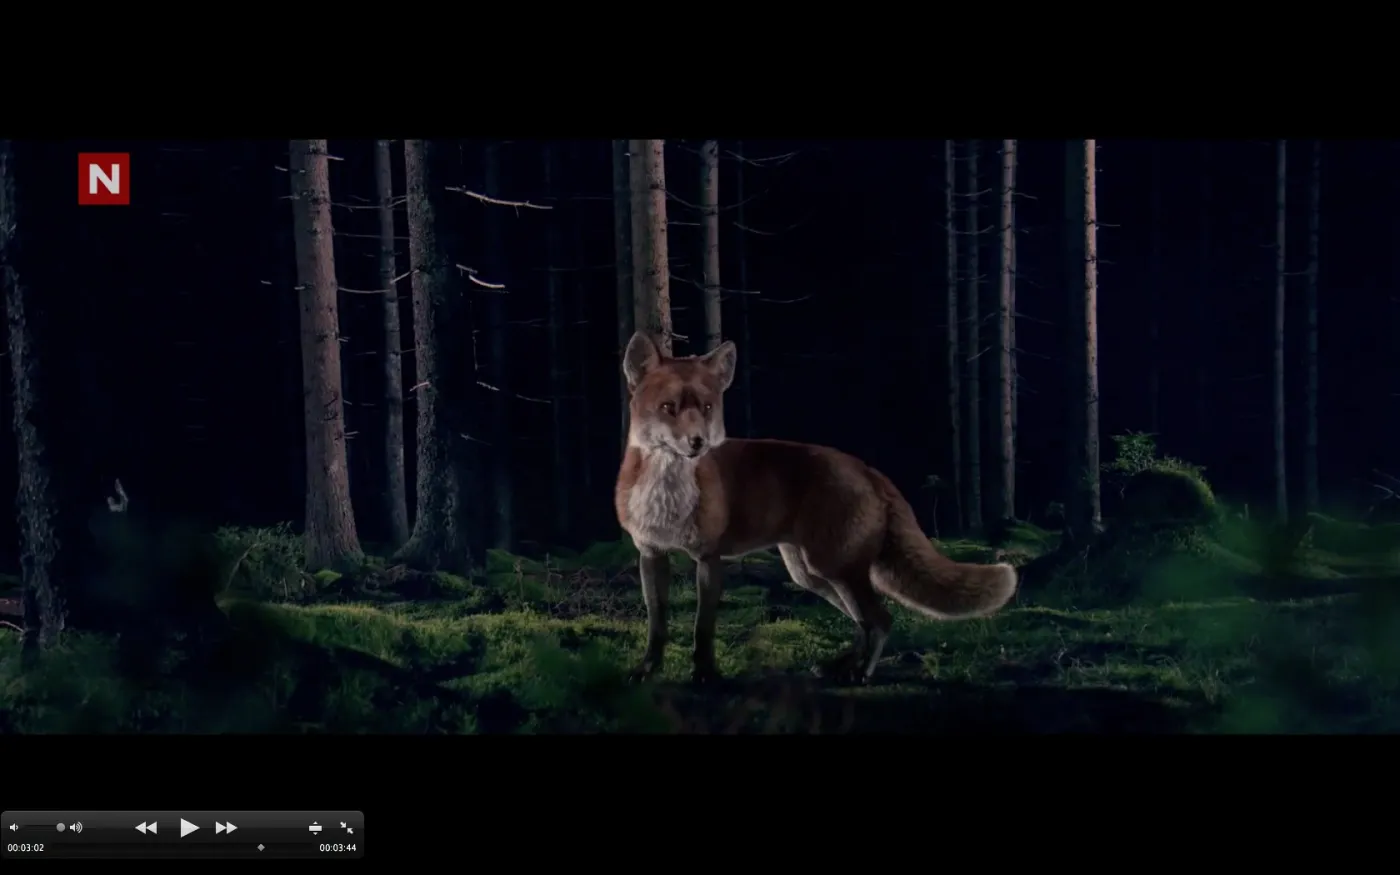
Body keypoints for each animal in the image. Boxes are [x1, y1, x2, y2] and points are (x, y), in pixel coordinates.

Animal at [614, 330, 1019, 685]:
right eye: (669, 408)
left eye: (707, 408)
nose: (698, 442)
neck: (667, 495)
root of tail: (867, 469)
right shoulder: (651, 554)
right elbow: (657, 624)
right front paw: (647, 671)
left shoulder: (709, 559)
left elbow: (702, 629)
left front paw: (704, 675)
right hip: (812, 574)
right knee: (865, 622)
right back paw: (842, 666)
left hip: (833, 566)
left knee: (881, 619)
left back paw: (859, 674)